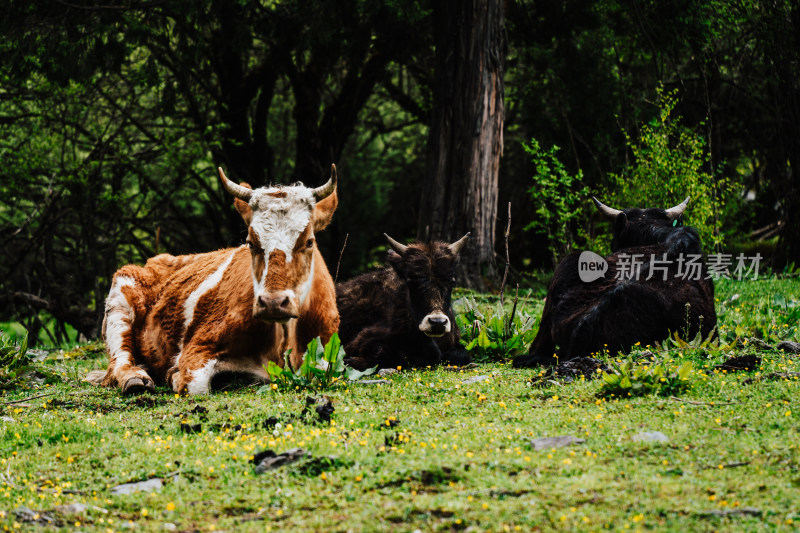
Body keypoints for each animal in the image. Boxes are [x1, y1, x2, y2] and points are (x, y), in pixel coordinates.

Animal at [89, 164, 340, 392]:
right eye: (250, 242)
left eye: (309, 241)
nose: (272, 303)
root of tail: (161, 259)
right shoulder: (198, 347)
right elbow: (195, 385)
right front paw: (174, 376)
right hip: (120, 298)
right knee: (120, 360)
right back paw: (135, 377)